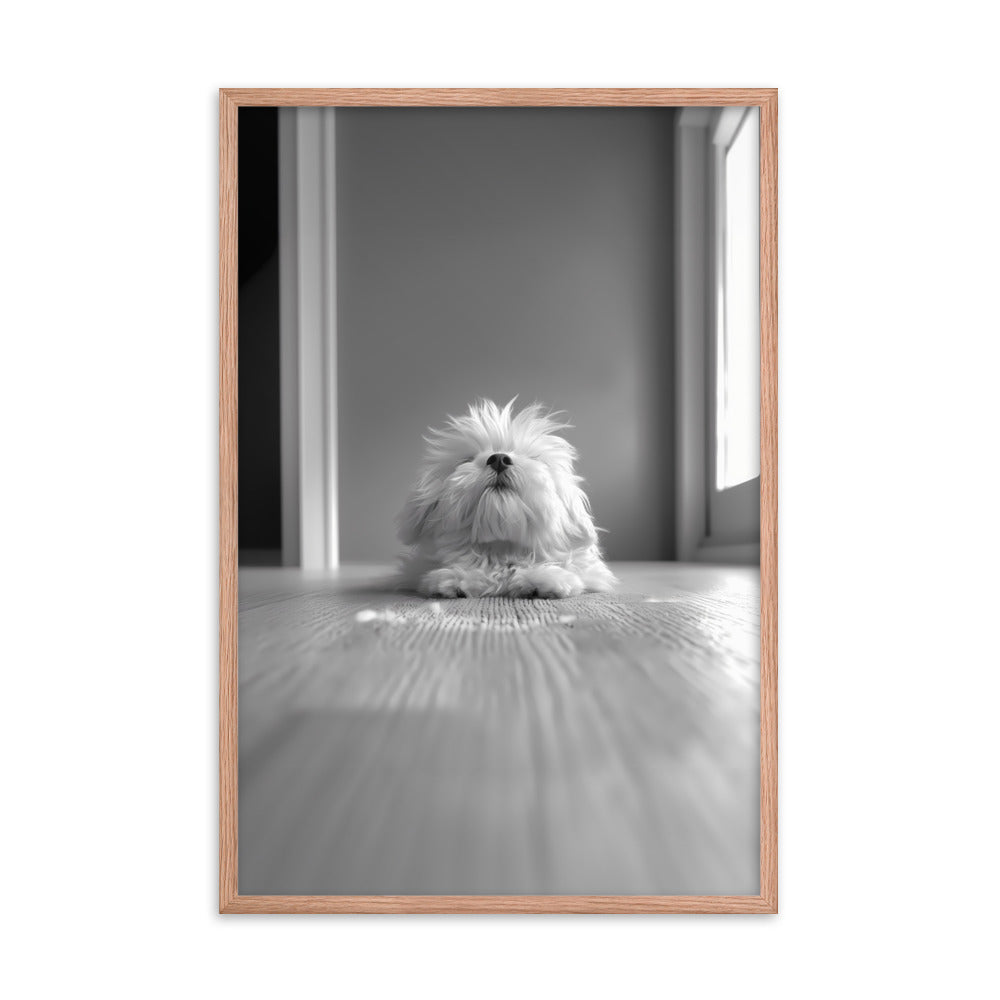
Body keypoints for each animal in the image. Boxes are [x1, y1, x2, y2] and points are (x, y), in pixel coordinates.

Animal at [398, 400, 616, 600]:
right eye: (467, 459)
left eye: (534, 458)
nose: (499, 459)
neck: (502, 550)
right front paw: (458, 578)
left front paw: (543, 578)